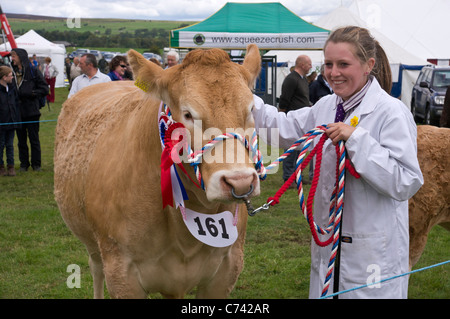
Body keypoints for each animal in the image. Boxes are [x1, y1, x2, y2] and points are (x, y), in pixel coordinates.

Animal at [54, 45, 262, 300]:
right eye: (188, 114)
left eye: (250, 109)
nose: (239, 181)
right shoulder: (121, 274)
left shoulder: (227, 269)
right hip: (92, 243)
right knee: (95, 269)